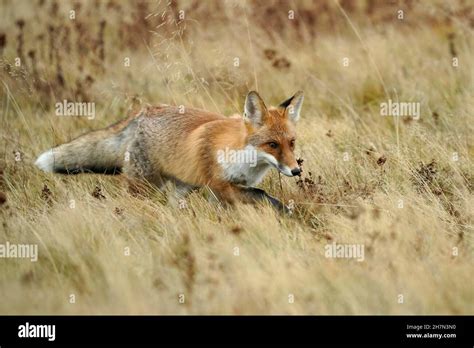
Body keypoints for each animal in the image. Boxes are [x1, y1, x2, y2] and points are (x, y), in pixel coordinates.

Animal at [36, 91, 304, 211]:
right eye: (272, 145)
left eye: (291, 142)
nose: (296, 171)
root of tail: (142, 112)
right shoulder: (219, 186)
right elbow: (261, 194)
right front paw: (285, 211)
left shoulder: (219, 191)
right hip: (144, 187)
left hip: (182, 187)